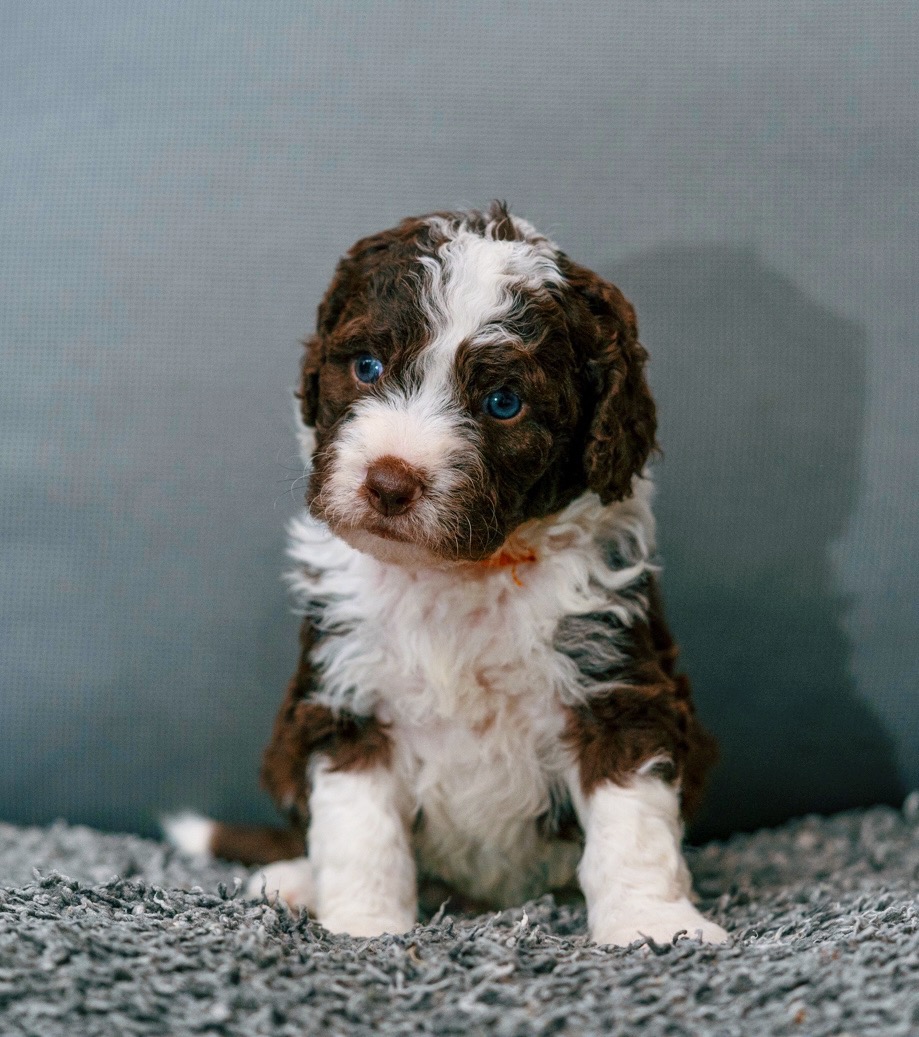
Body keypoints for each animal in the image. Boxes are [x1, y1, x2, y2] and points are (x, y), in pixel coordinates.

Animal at [169, 202, 730, 949]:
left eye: (502, 403)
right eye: (368, 366)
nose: (388, 483)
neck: (460, 574)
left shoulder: (613, 681)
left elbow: (631, 816)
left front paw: (655, 925)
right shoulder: (349, 697)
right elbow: (359, 829)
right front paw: (364, 926)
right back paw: (293, 880)